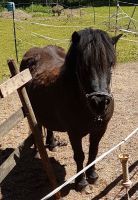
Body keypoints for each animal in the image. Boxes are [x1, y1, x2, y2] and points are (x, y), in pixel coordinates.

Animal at [20, 28, 122, 191]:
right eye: (83, 65)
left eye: (110, 64)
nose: (99, 102)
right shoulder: (74, 133)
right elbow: (79, 155)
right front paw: (81, 181)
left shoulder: (100, 129)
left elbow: (93, 151)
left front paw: (92, 175)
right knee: (37, 126)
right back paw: (37, 150)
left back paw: (52, 143)